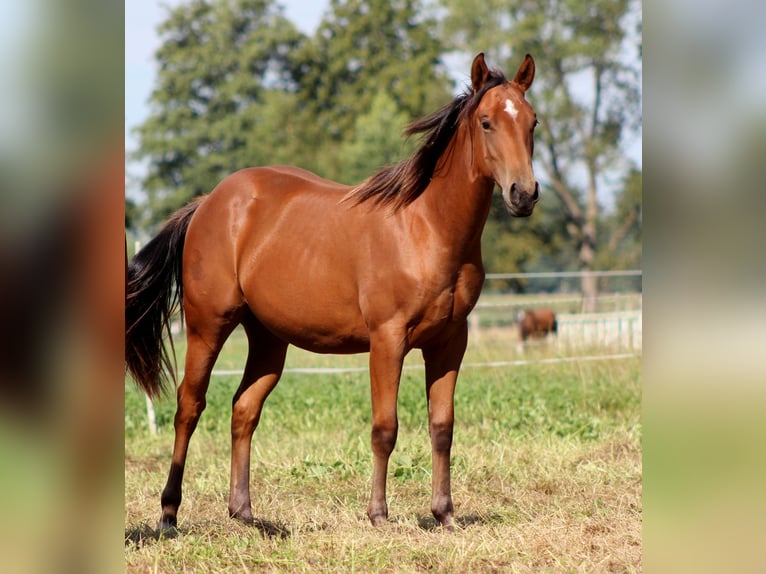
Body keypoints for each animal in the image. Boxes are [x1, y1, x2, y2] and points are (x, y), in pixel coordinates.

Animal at [126, 52, 540, 532]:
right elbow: (385, 428)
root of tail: (209, 201)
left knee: (244, 410)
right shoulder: (387, 340)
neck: (426, 227)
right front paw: (379, 514)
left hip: (268, 339)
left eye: (532, 121)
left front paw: (445, 514)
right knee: (189, 407)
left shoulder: (451, 342)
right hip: (207, 326)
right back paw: (169, 514)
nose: (524, 194)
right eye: (487, 122)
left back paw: (244, 513)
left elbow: (442, 427)